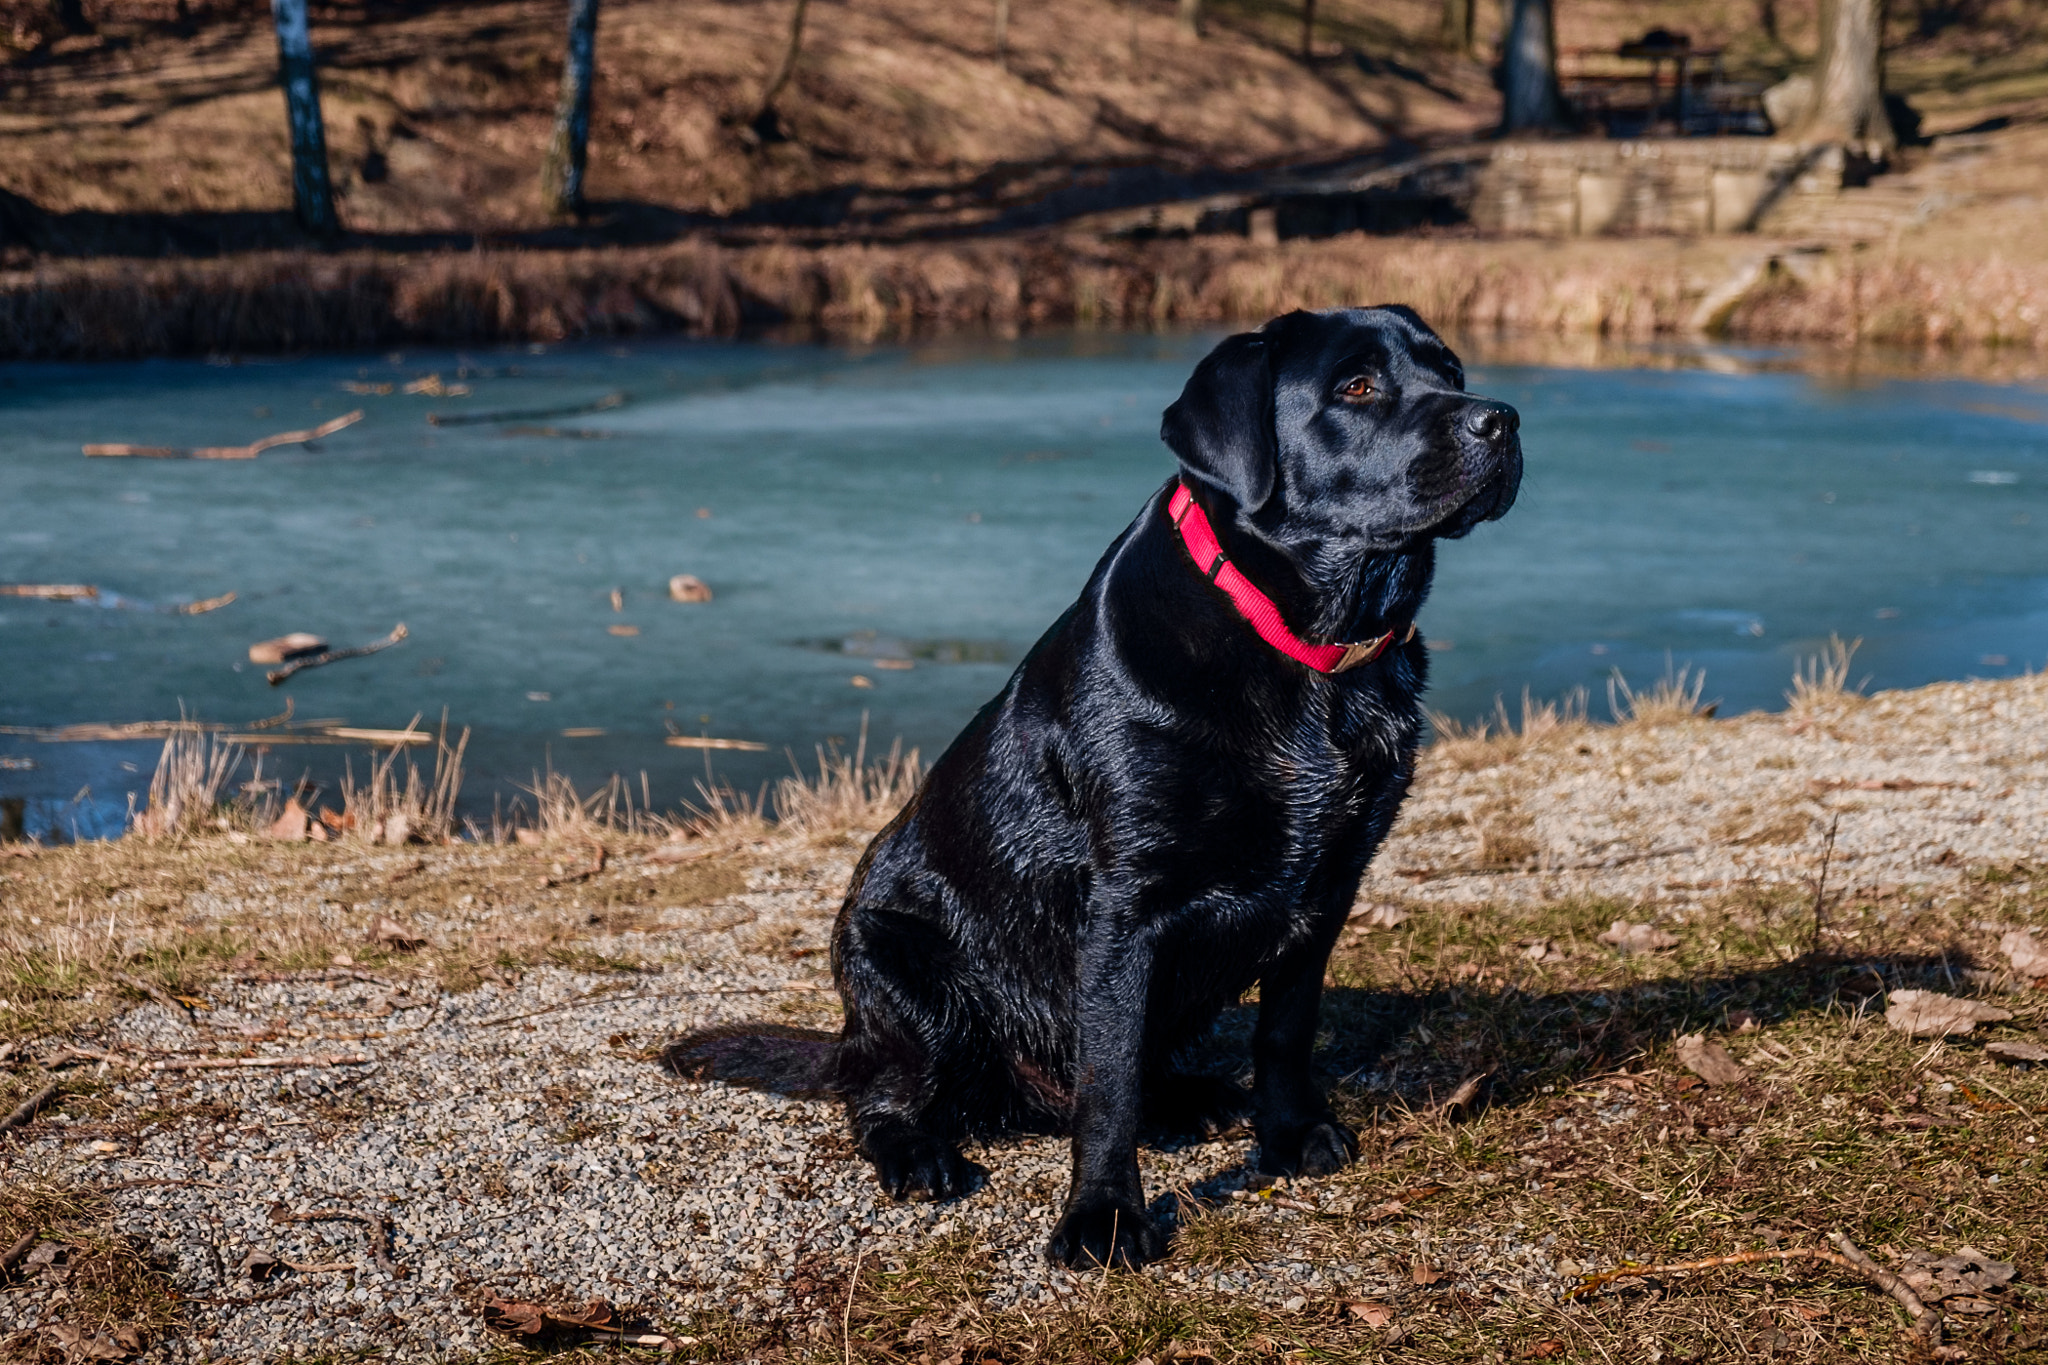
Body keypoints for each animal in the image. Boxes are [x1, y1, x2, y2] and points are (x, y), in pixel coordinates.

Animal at [827, 306, 1523, 1268]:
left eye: (1449, 371)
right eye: (1355, 386)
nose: (1502, 419)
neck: (1303, 653)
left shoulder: (1329, 884)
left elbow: (1285, 1029)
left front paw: (1290, 1133)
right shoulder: (1127, 906)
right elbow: (1108, 1081)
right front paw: (1104, 1217)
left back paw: (1198, 1098)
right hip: (898, 965)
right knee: (883, 1094)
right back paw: (919, 1153)